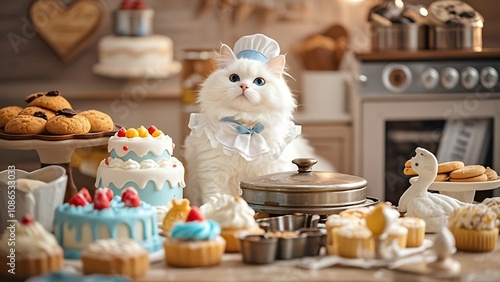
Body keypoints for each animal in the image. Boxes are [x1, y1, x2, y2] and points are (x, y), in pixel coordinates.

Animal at [183, 34, 332, 205]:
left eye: (259, 81)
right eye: (234, 78)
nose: (243, 86)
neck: (246, 128)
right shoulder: (213, 173)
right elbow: (215, 200)